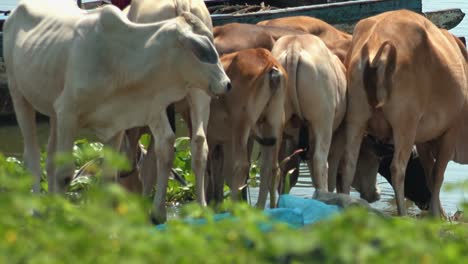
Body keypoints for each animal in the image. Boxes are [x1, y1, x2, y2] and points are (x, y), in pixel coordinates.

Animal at [3, 0, 230, 224]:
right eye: (201, 50)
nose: (227, 84)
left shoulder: (118, 121)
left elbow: (108, 176)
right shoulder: (68, 113)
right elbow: (65, 173)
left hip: (52, 111)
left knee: (50, 158)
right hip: (19, 94)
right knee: (32, 157)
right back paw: (37, 211)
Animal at [340, 9, 468, 218]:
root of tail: (375, 44)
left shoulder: (423, 138)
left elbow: (429, 173)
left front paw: (438, 213)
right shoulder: (449, 131)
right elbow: (437, 175)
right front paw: (439, 215)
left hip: (355, 118)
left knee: (348, 163)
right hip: (404, 123)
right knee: (397, 168)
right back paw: (403, 215)